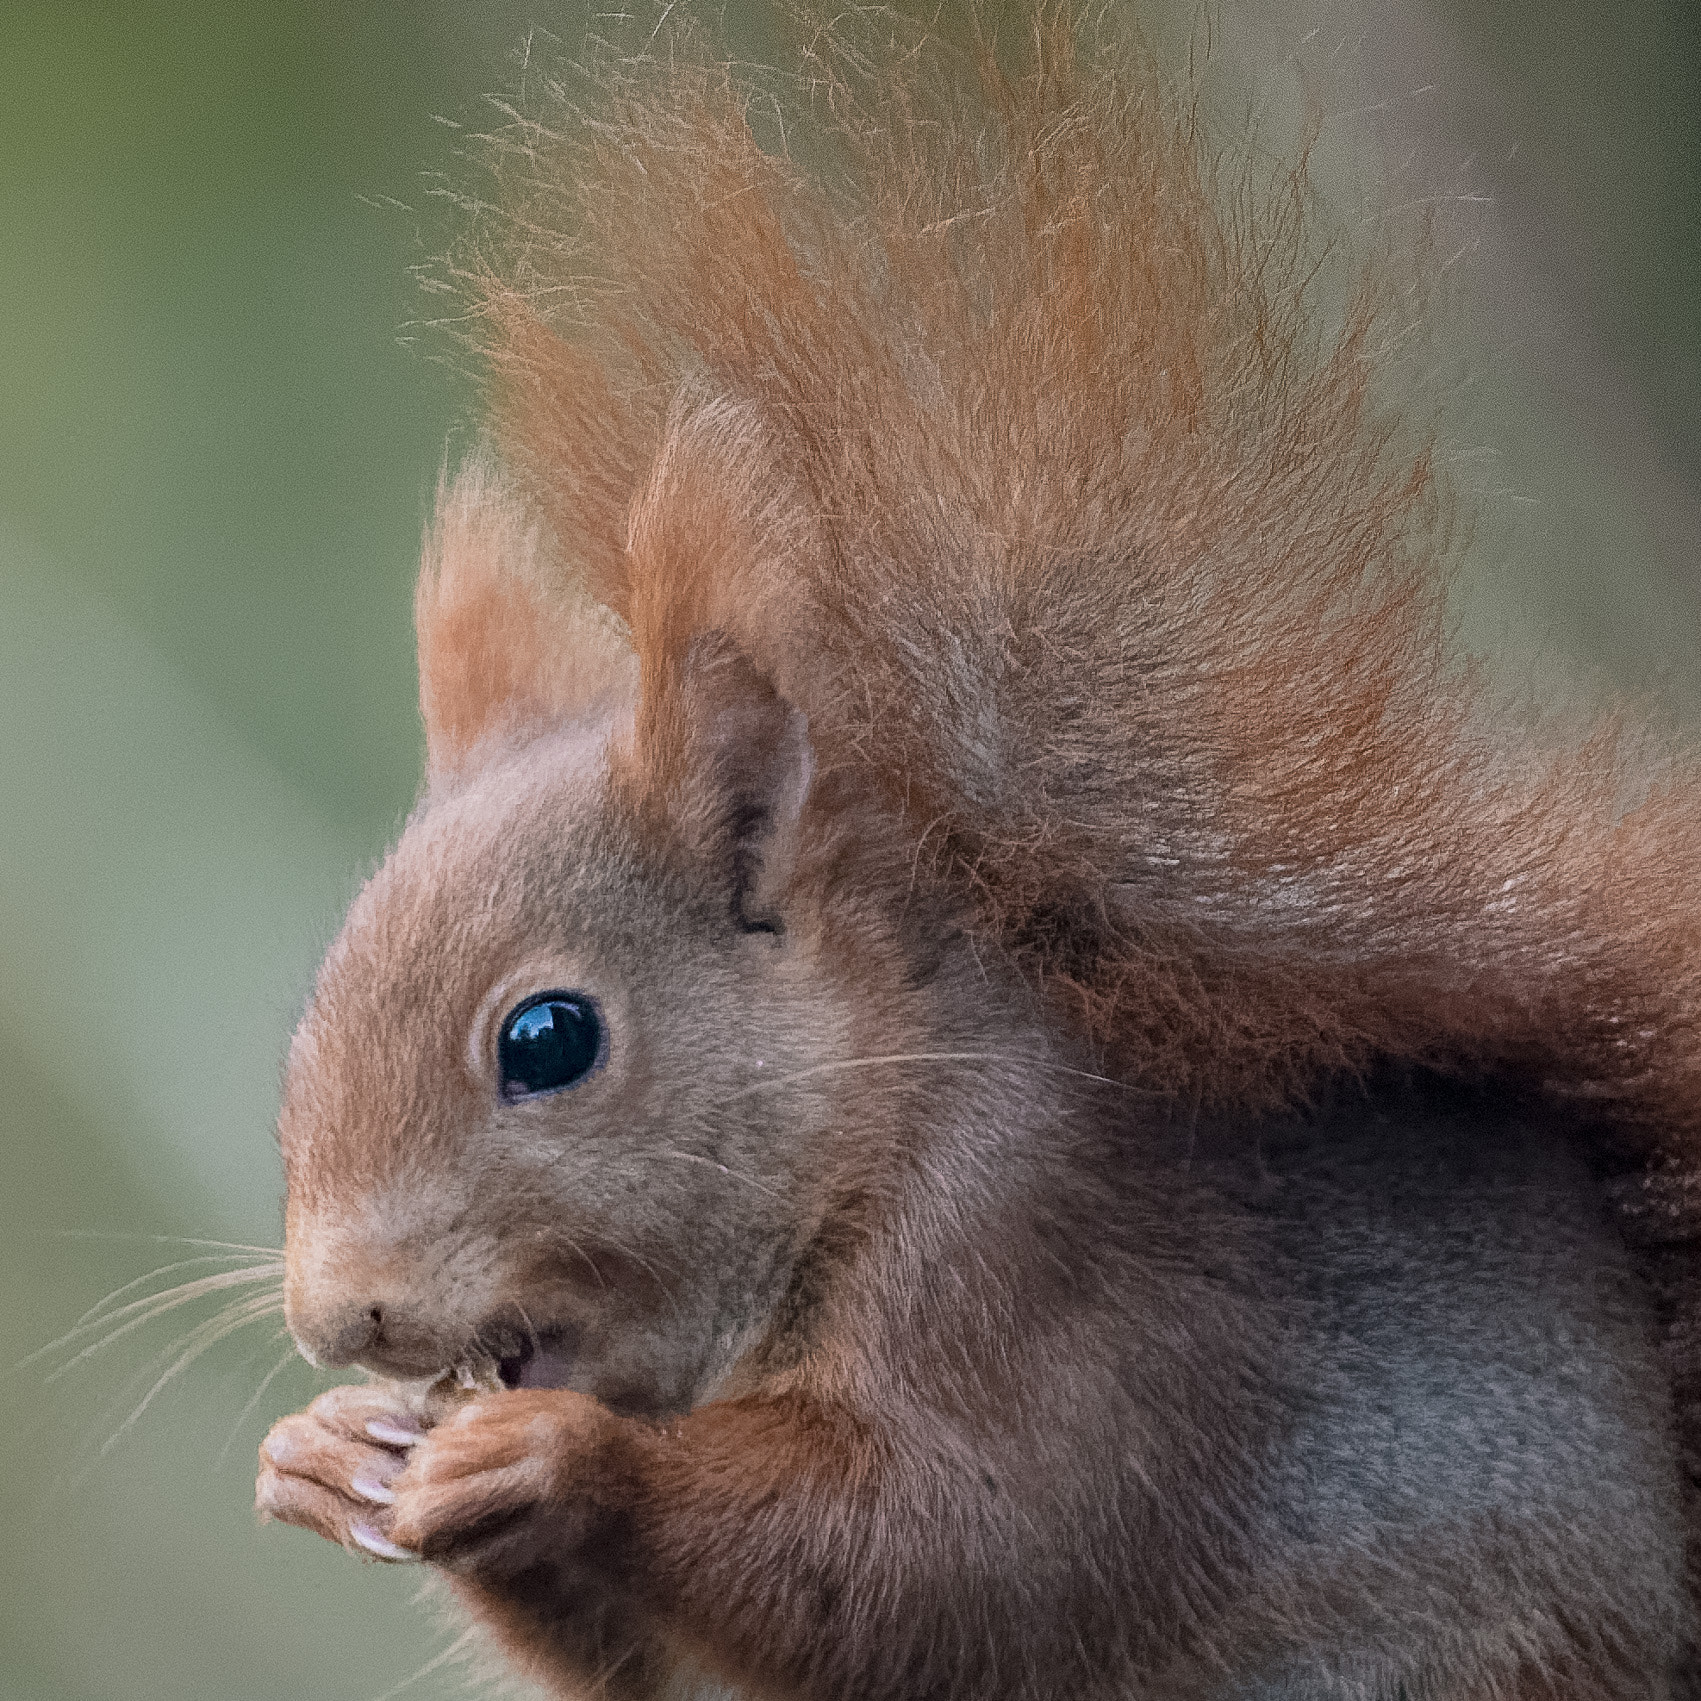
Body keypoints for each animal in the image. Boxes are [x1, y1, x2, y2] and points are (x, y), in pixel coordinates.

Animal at [251, 13, 1701, 1701]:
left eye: (548, 1039)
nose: (337, 1317)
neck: (883, 1099)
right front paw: (322, 1451)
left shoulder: (1050, 1259)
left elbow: (956, 1556)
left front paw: (563, 1458)